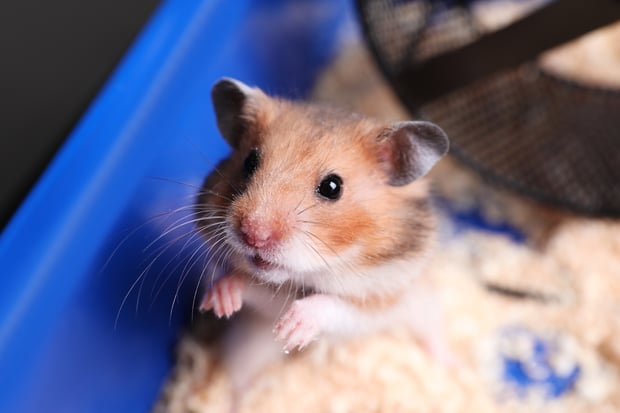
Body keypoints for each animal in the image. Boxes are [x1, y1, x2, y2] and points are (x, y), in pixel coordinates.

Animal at [194, 76, 450, 396]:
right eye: (249, 162)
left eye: (332, 187)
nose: (254, 235)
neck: (305, 278)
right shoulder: (270, 298)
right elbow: (247, 284)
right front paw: (221, 300)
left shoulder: (379, 299)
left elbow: (335, 306)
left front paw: (293, 329)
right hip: (245, 347)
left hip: (424, 305)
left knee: (433, 332)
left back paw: (448, 366)